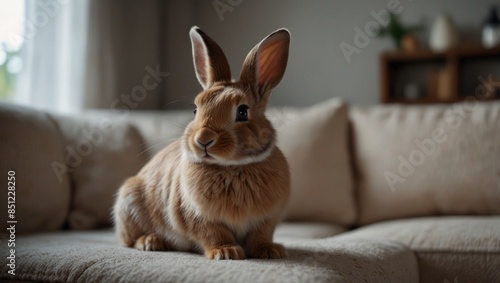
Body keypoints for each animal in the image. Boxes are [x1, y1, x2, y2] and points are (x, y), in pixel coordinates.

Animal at [114, 27, 292, 262]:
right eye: (195, 110)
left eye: (242, 112)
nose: (203, 139)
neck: (233, 167)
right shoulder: (198, 217)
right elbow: (213, 233)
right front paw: (226, 252)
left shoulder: (267, 220)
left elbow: (261, 235)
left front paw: (270, 251)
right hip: (131, 203)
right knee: (129, 240)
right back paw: (151, 242)